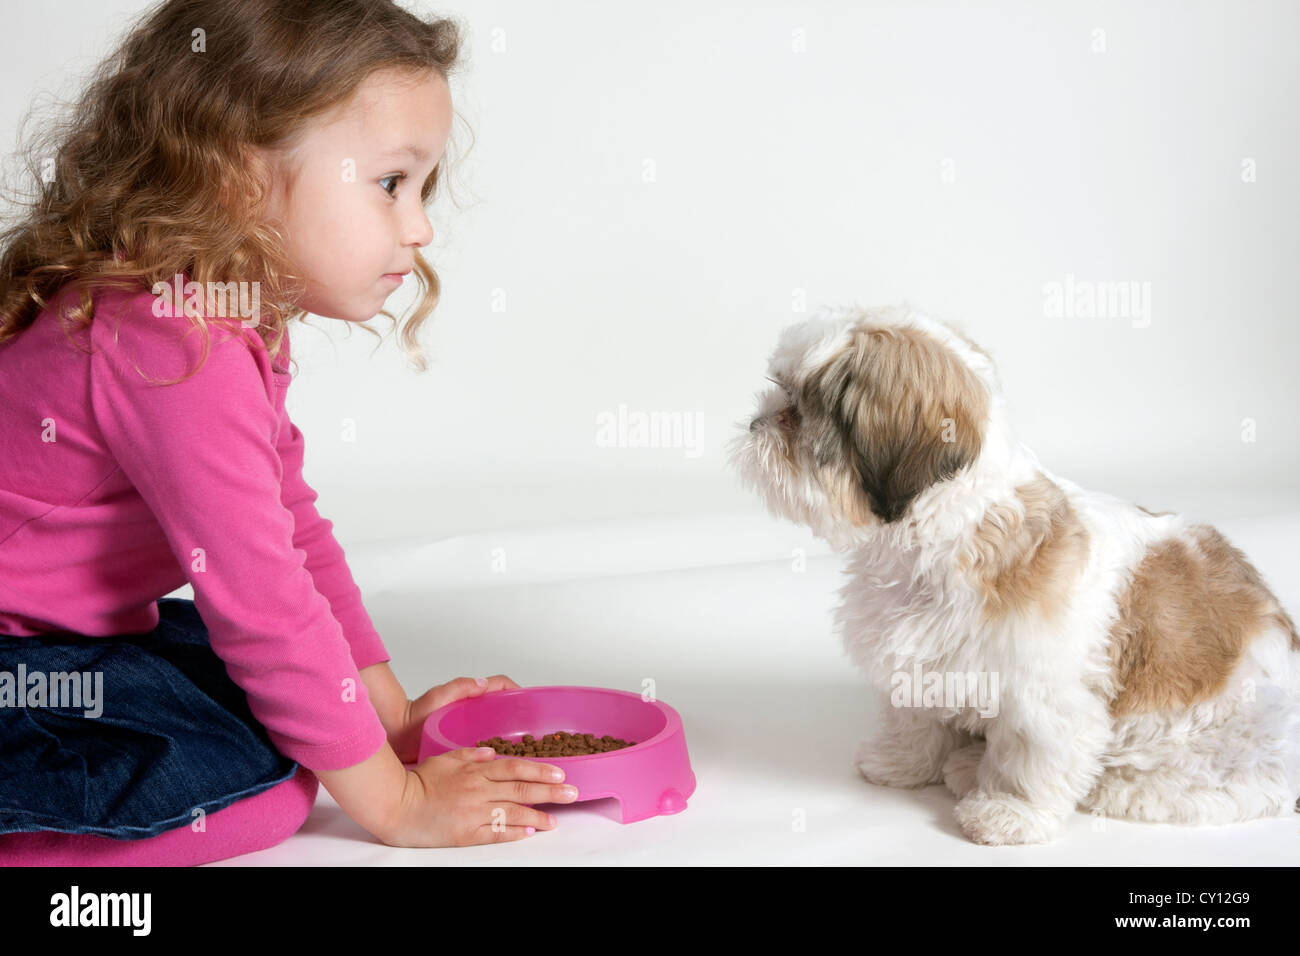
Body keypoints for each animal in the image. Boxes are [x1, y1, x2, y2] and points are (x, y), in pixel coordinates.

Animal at [728, 304, 1300, 842]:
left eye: (796, 411)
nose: (756, 422)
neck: (939, 538)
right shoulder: (917, 663)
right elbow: (915, 720)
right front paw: (902, 763)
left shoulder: (1041, 693)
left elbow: (1031, 755)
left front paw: (1009, 812)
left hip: (1213, 744)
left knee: (1213, 786)